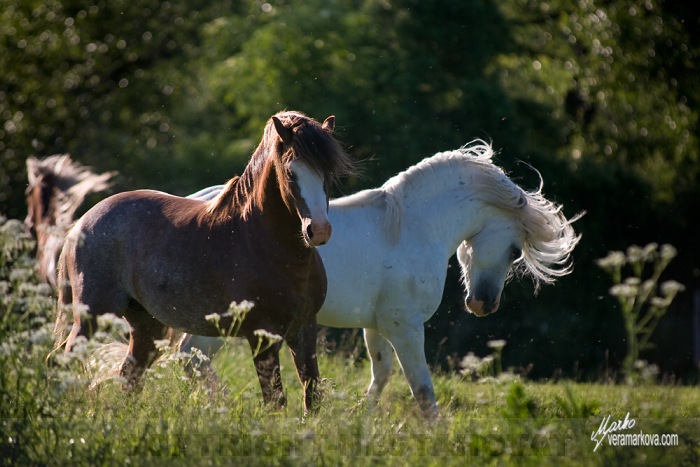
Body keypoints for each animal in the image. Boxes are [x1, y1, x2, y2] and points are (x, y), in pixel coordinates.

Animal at [52, 111, 356, 414]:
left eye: (328, 173)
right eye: (291, 172)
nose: (318, 230)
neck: (265, 244)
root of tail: (81, 223)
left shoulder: (305, 328)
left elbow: (312, 396)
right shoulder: (262, 335)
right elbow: (275, 401)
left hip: (146, 327)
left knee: (129, 376)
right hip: (93, 317)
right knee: (66, 361)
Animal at [180, 142, 580, 416]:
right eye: (514, 251)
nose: (484, 304)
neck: (409, 228)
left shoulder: (375, 325)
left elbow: (382, 374)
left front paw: (362, 418)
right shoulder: (405, 326)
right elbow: (422, 389)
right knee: (191, 357)